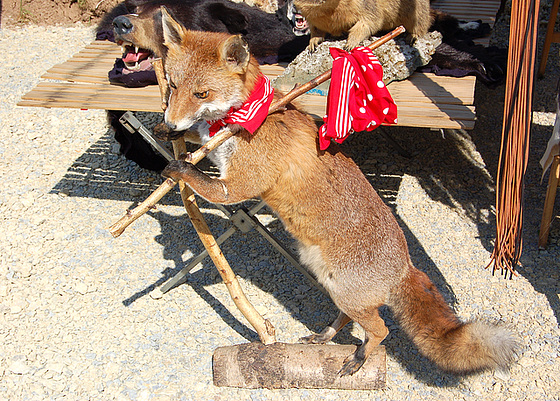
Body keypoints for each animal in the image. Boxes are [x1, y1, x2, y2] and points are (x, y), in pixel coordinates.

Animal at [156, 7, 516, 376]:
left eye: (201, 94)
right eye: (173, 85)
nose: (170, 123)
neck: (245, 117)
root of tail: (404, 266)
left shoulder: (241, 184)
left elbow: (205, 181)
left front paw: (179, 168)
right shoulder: (218, 151)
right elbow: (201, 136)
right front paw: (173, 135)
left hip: (345, 291)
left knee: (381, 330)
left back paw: (360, 357)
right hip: (332, 285)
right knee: (349, 319)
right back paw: (324, 336)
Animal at [296, 0, 430, 49]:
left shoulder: (367, 6)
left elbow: (368, 22)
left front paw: (350, 44)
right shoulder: (312, 19)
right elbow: (316, 30)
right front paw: (312, 43)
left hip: (418, 10)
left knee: (422, 23)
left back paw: (412, 37)